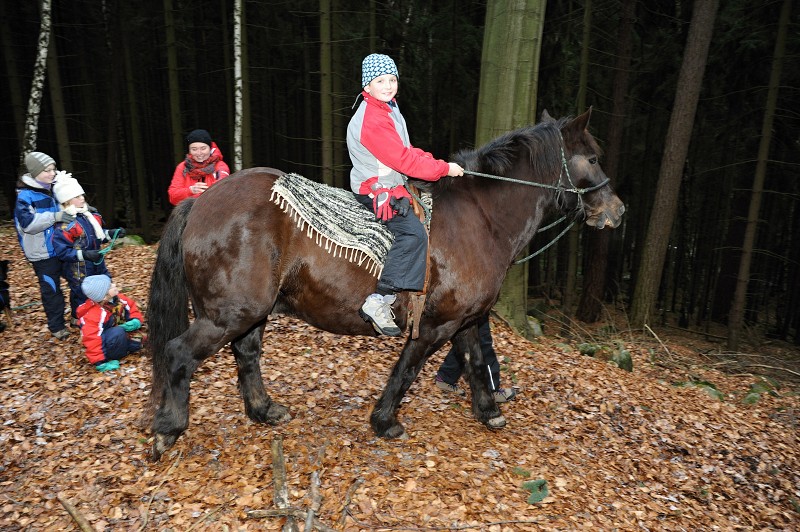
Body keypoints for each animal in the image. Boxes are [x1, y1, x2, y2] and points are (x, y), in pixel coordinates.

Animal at [148, 108, 624, 458]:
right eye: (593, 158)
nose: (617, 210)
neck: (482, 219)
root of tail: (199, 202)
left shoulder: (467, 319)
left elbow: (474, 361)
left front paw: (488, 411)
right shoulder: (434, 325)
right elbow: (407, 370)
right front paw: (385, 421)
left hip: (249, 312)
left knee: (246, 354)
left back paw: (264, 410)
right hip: (230, 313)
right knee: (178, 353)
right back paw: (168, 428)